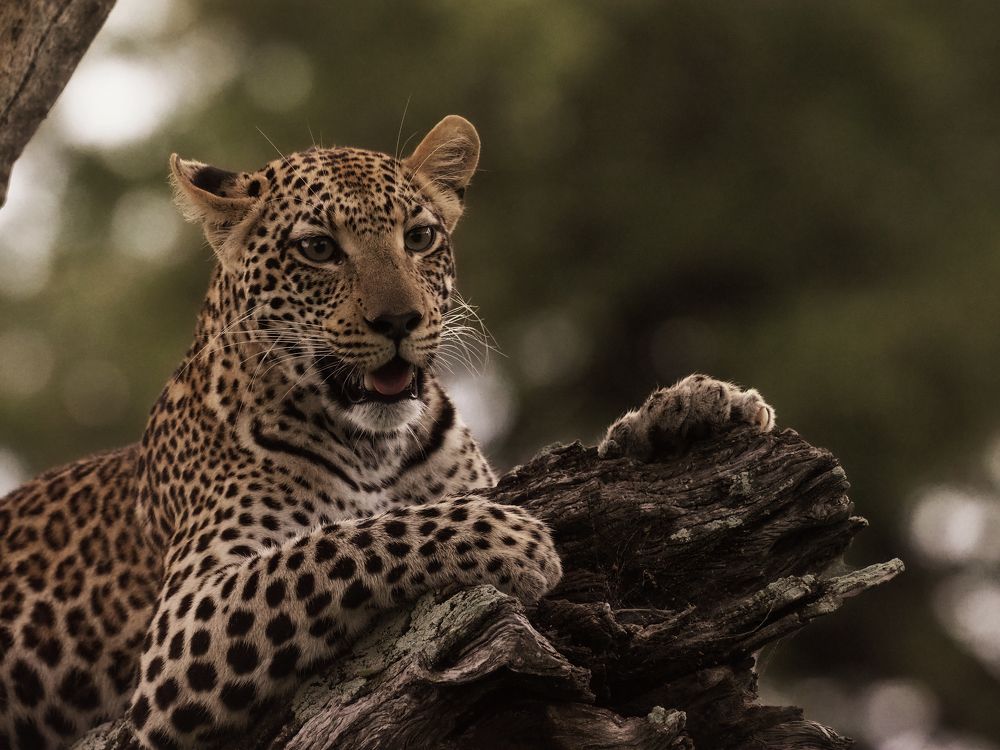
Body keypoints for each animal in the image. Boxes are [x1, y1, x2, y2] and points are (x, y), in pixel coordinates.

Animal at [0, 115, 775, 750]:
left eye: (420, 237)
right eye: (318, 248)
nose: (399, 321)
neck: (377, 445)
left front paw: (696, 407)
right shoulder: (183, 628)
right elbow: (337, 544)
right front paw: (509, 539)